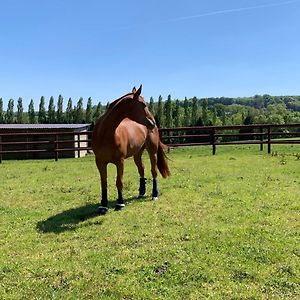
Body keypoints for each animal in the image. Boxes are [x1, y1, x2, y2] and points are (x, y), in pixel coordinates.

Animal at [91, 85, 170, 214]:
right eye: (143, 105)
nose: (152, 122)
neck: (106, 134)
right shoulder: (100, 162)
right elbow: (104, 183)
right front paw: (103, 205)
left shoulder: (120, 162)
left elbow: (119, 182)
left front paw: (120, 203)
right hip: (137, 154)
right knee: (141, 169)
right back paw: (141, 192)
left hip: (152, 151)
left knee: (153, 171)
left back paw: (154, 194)